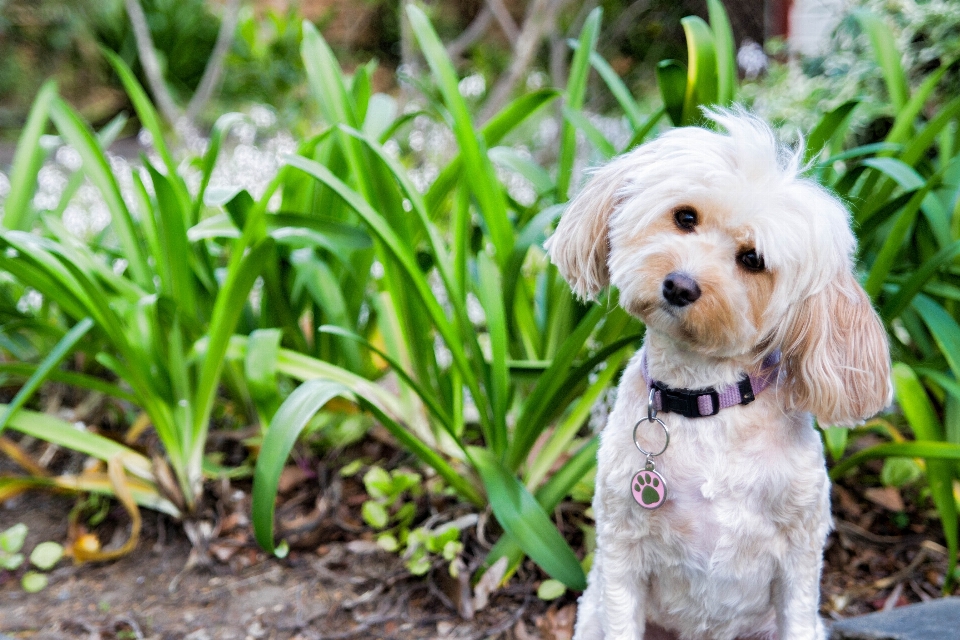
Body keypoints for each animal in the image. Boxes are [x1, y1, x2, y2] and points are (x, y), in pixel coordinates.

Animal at [548, 111, 892, 640]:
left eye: (753, 260)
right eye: (685, 217)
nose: (679, 285)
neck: (705, 401)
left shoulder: (799, 560)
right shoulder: (621, 553)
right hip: (592, 613)